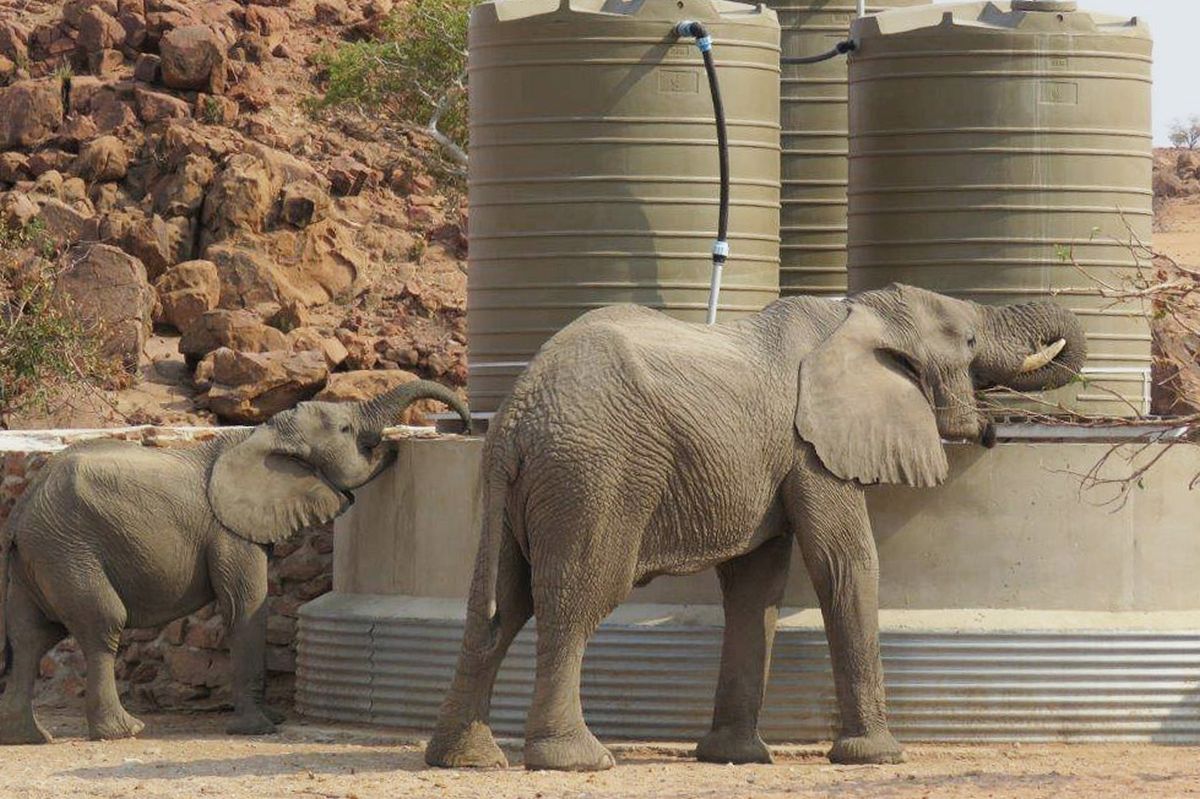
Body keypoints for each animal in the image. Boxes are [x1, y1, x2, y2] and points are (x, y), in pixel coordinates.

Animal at [0, 380, 470, 744]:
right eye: (346, 429)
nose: (463, 424)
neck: (263, 435)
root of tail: (22, 508)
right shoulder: (229, 532)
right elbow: (247, 605)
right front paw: (262, 729)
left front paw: (272, 721)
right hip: (68, 547)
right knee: (101, 624)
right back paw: (124, 732)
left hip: (40, 554)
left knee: (29, 638)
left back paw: (30, 738)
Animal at [424, 283, 1085, 772]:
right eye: (969, 340)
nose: (996, 433)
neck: (857, 309)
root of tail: (513, 415)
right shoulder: (812, 444)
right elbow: (843, 561)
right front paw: (876, 757)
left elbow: (755, 585)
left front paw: (733, 758)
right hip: (593, 474)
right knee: (576, 600)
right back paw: (576, 761)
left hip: (522, 488)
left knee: (501, 606)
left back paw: (465, 760)